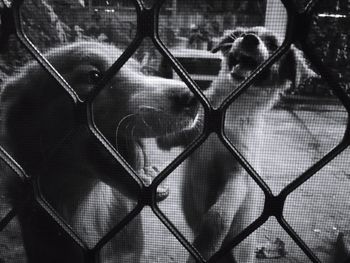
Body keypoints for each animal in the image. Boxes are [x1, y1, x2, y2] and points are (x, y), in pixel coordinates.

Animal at [157, 26, 316, 262]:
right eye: (246, 32)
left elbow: (218, 216)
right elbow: (169, 136)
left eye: (273, 44)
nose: (249, 39)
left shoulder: (239, 175)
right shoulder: (185, 139)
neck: (232, 111)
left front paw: (206, 244)